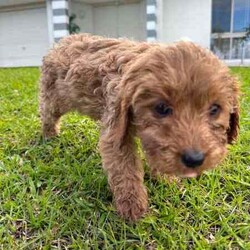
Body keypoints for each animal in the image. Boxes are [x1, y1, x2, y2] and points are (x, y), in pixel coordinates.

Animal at [39, 33, 240, 221]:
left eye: (214, 109)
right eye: (161, 108)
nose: (194, 159)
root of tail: (63, 41)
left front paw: (165, 178)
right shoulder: (115, 130)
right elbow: (125, 170)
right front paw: (132, 204)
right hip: (55, 97)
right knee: (47, 112)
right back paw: (49, 134)